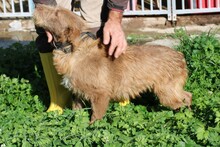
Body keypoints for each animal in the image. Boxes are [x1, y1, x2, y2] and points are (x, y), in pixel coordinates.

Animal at [33, 4, 192, 123]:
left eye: (56, 14)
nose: (37, 5)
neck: (74, 51)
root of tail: (180, 55)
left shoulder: (100, 95)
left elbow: (95, 118)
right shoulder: (76, 94)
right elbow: (77, 113)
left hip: (166, 93)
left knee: (185, 100)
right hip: (171, 90)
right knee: (188, 96)